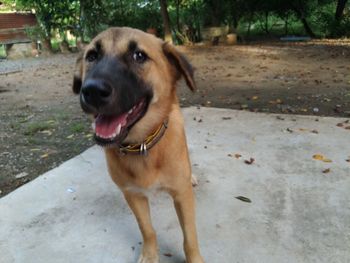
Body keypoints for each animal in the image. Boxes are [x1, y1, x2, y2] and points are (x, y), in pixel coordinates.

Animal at [73, 27, 205, 263]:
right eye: (92, 56)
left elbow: (189, 236)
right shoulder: (132, 195)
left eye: (139, 56)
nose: (92, 91)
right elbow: (147, 229)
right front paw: (150, 255)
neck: (143, 144)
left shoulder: (182, 196)